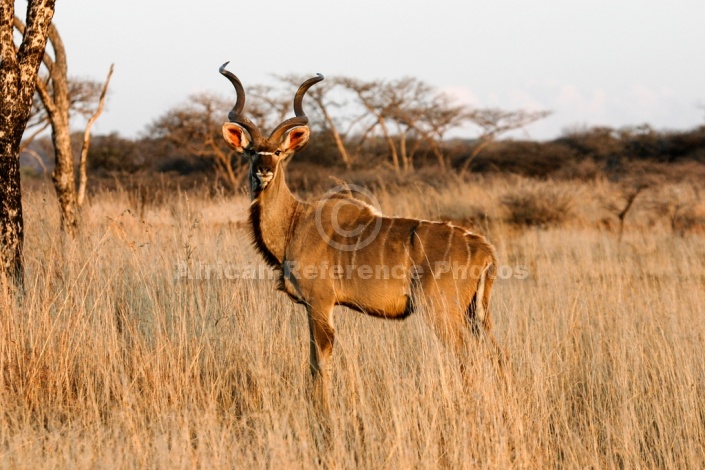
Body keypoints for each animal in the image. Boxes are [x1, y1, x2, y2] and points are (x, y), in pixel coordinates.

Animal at [219, 64, 500, 414]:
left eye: (279, 152)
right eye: (252, 152)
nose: (264, 171)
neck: (295, 222)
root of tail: (484, 249)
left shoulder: (320, 302)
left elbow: (320, 361)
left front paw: (322, 412)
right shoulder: (313, 306)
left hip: (442, 312)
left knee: (467, 357)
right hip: (475, 316)